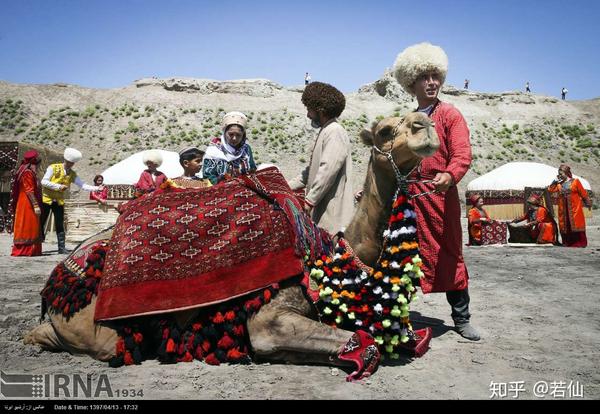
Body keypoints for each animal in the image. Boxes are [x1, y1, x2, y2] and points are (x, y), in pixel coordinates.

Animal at [24, 111, 440, 380]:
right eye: (385, 130)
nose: (427, 127)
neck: (328, 259)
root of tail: (57, 280)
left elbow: (397, 340)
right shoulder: (270, 318)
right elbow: (365, 344)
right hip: (93, 325)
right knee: (90, 341)